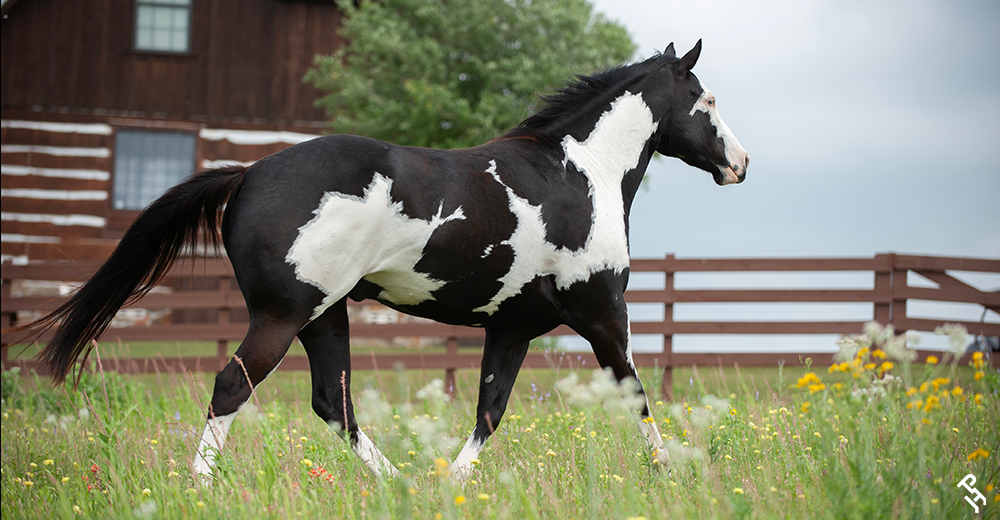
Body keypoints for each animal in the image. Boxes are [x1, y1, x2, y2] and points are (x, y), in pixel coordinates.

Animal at [13, 40, 752, 480]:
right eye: (708, 100)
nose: (740, 164)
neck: (578, 174)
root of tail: (248, 175)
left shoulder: (511, 329)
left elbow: (489, 412)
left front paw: (451, 485)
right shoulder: (602, 313)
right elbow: (637, 398)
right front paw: (671, 475)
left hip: (325, 316)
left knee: (332, 404)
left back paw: (399, 484)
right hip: (284, 316)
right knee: (231, 386)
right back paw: (201, 485)